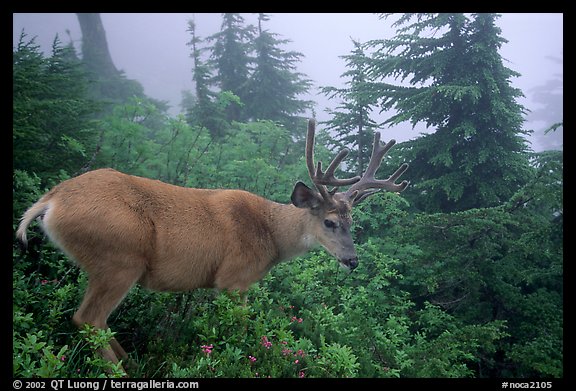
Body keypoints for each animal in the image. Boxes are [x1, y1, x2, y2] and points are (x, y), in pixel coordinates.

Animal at [14, 119, 410, 368]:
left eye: (352, 223)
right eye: (329, 222)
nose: (352, 260)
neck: (270, 236)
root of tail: (51, 200)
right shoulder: (234, 278)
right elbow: (244, 330)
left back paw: (132, 360)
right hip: (119, 257)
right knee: (88, 317)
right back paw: (123, 370)